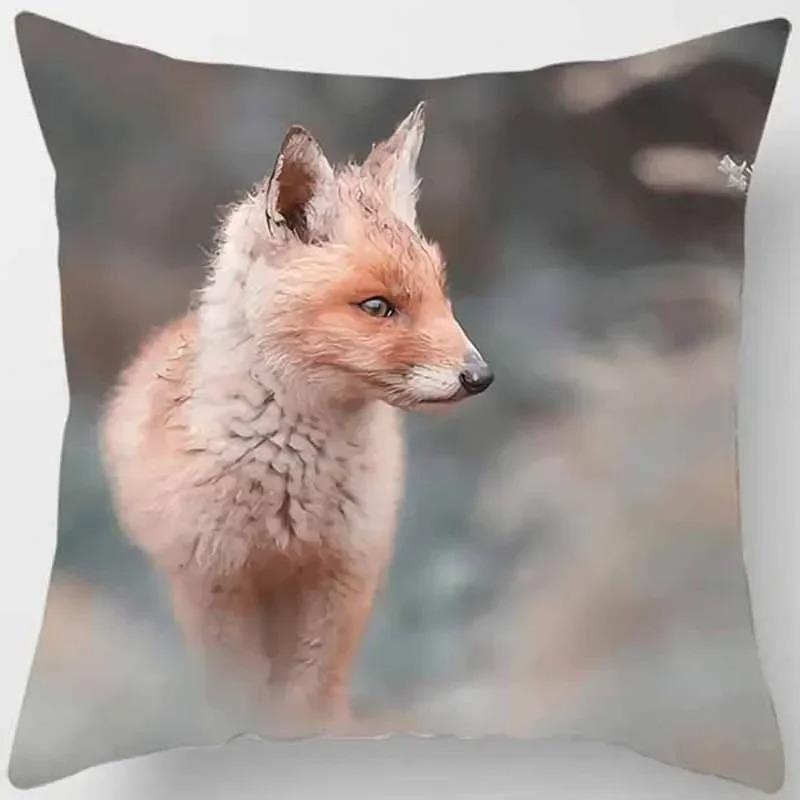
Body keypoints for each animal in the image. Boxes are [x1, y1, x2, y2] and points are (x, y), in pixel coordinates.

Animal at [101, 102, 493, 734]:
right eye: (378, 307)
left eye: (441, 294)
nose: (480, 375)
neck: (290, 491)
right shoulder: (213, 578)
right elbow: (237, 697)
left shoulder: (346, 571)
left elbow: (311, 699)